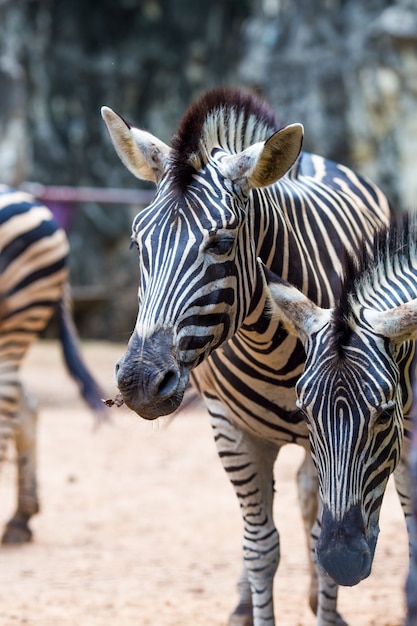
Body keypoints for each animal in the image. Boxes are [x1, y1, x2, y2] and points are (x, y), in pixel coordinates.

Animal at [101, 88, 390, 624]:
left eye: (221, 242)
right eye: (136, 243)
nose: (140, 382)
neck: (269, 344)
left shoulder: (340, 426)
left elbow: (321, 534)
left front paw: (326, 606)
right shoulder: (229, 429)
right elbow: (260, 547)